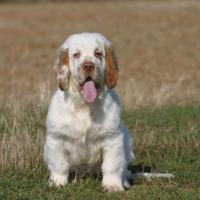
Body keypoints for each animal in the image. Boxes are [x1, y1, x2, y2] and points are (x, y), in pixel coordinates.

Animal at [43, 32, 134, 192]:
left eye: (98, 53)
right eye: (76, 55)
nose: (88, 66)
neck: (84, 106)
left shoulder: (113, 138)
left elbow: (112, 165)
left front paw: (112, 186)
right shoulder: (56, 138)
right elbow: (60, 165)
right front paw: (57, 183)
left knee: (125, 169)